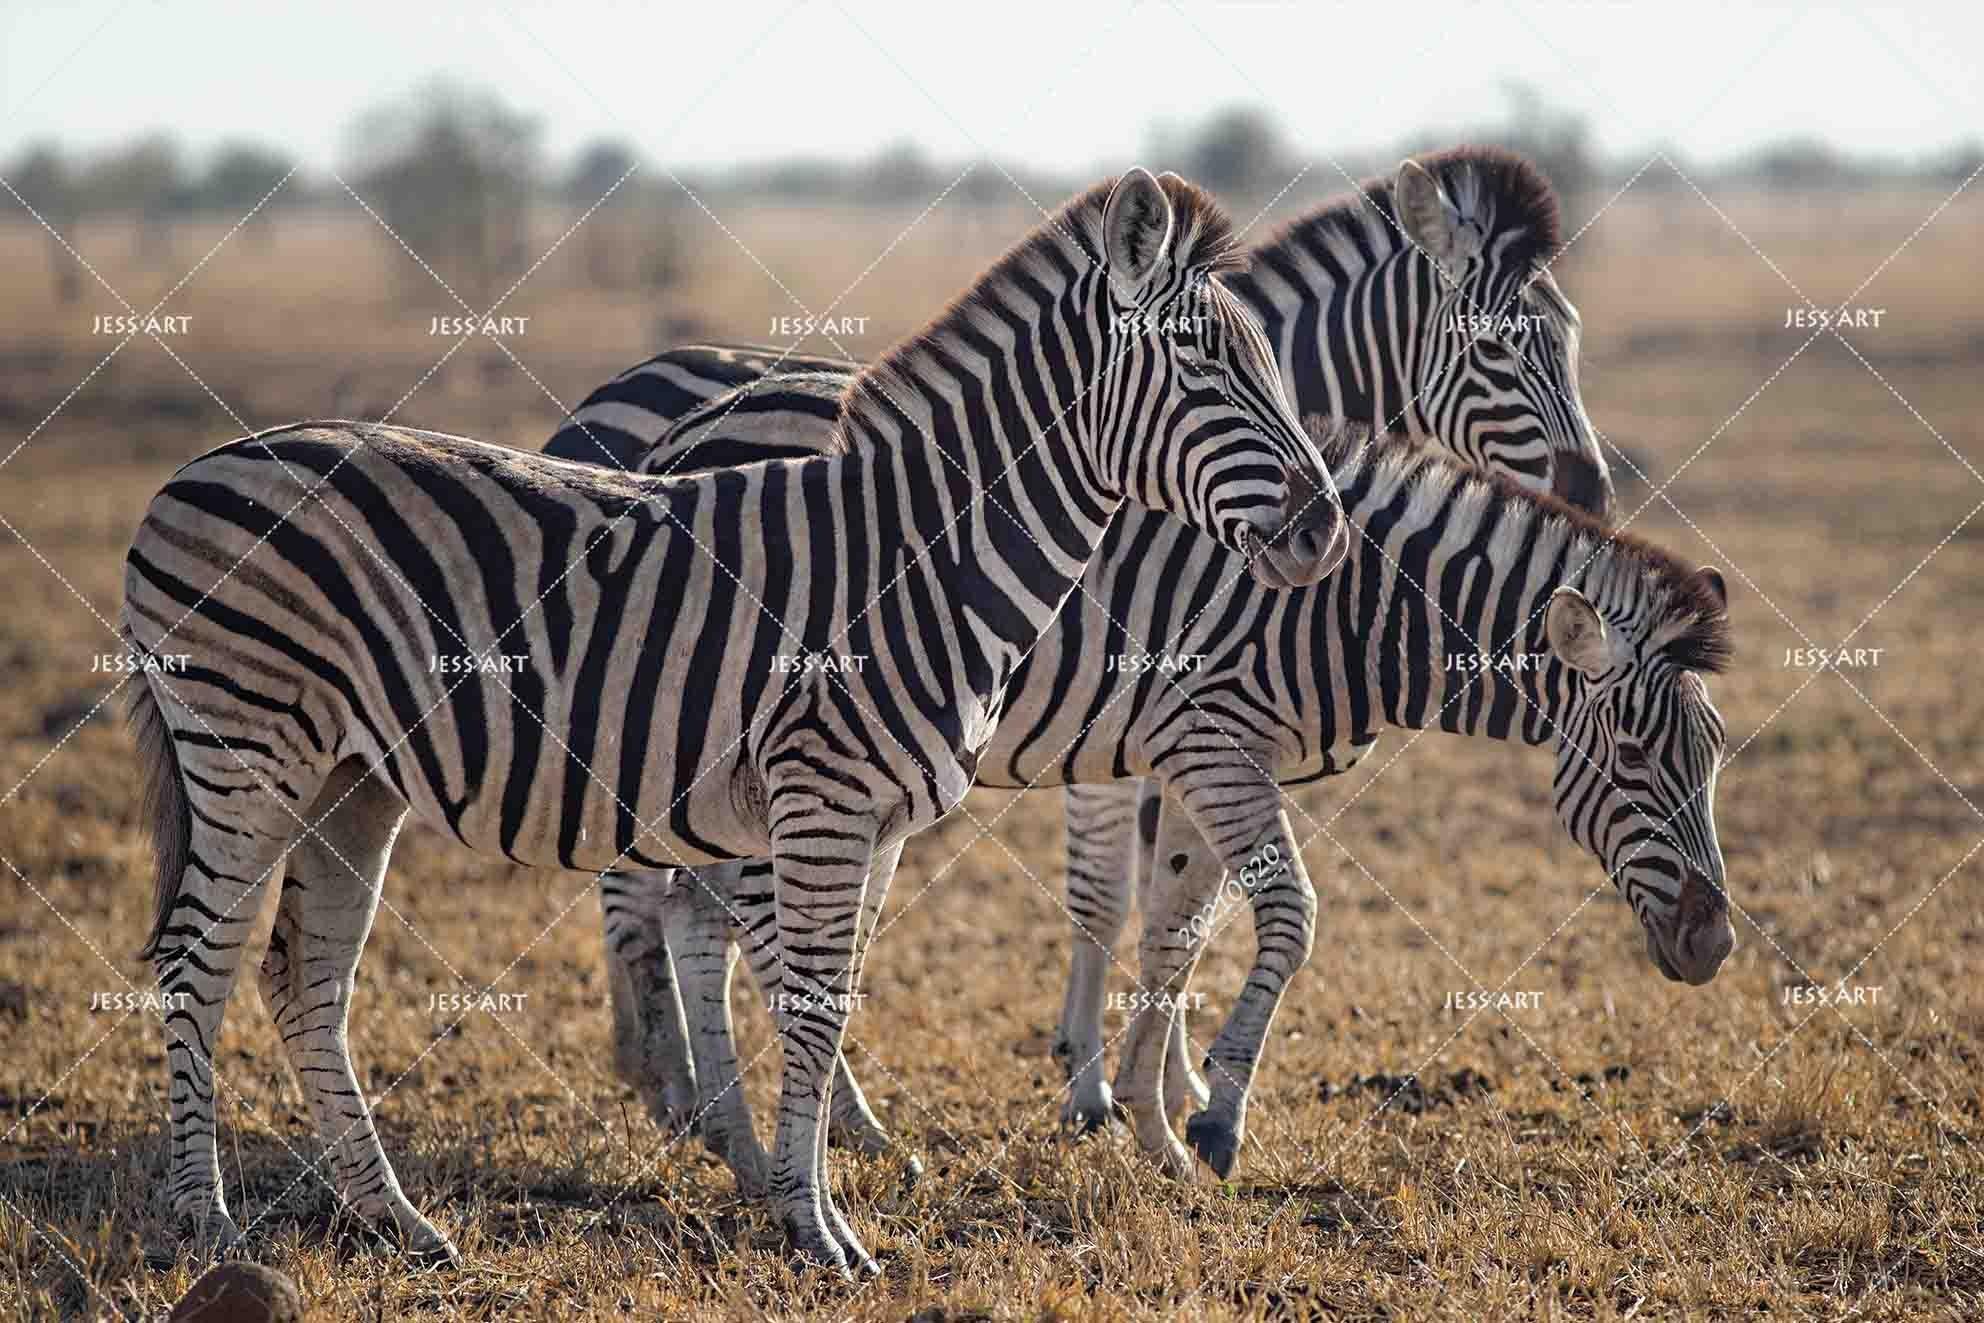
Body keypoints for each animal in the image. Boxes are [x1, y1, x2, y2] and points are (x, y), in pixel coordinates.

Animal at [119, 168, 1350, 1278]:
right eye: (1202, 363)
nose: (1325, 532)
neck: (921, 561)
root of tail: (191, 469)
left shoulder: (873, 819)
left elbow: (831, 999)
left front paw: (810, 1198)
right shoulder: (824, 799)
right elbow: (807, 1009)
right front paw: (817, 1232)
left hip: (350, 779)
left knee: (304, 978)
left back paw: (398, 1223)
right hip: (247, 751)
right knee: (197, 962)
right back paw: (206, 1222)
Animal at [604, 406, 1735, 1193]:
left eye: (1717, 754)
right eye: (1636, 754)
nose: (1716, 944)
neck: (1348, 608)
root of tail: (692, 432)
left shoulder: (1206, 756)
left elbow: (1175, 934)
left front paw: (1151, 1124)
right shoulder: (1211, 739)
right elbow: (1289, 916)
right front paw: (1214, 1117)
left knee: (698, 910)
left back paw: (766, 1136)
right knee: (719, 917)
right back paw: (788, 1137)